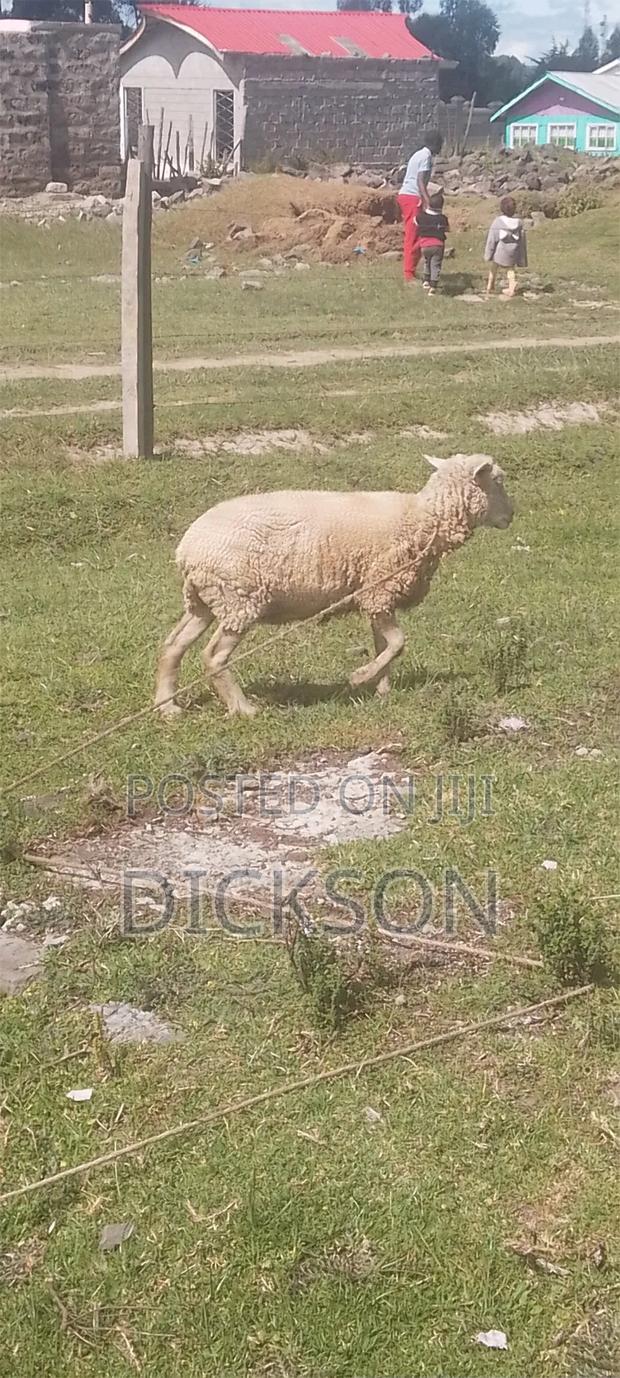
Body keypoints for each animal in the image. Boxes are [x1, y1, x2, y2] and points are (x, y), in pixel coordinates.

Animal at [155, 453, 514, 718]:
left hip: (206, 600)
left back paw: (167, 706)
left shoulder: (374, 594)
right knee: (214, 656)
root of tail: (186, 550)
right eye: (497, 481)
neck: (425, 518)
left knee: (173, 645)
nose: (511, 516)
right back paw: (244, 709)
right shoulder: (381, 587)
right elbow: (399, 643)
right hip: (239, 598)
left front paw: (382, 691)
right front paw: (359, 678)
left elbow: (385, 646)